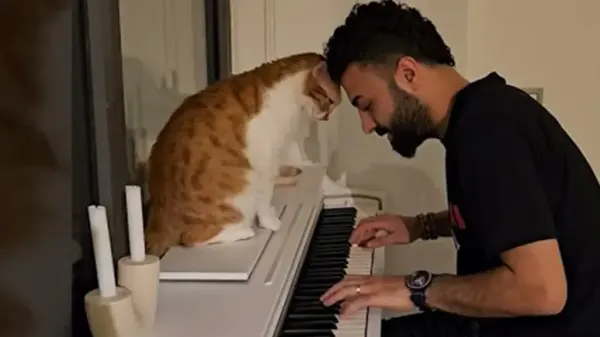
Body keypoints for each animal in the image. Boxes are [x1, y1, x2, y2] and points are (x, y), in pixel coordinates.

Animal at [144, 51, 342, 255]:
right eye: (330, 101)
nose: (326, 117)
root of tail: (158, 217)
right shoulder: (266, 163)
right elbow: (265, 198)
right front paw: (271, 223)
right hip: (241, 191)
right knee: (193, 238)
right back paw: (245, 231)